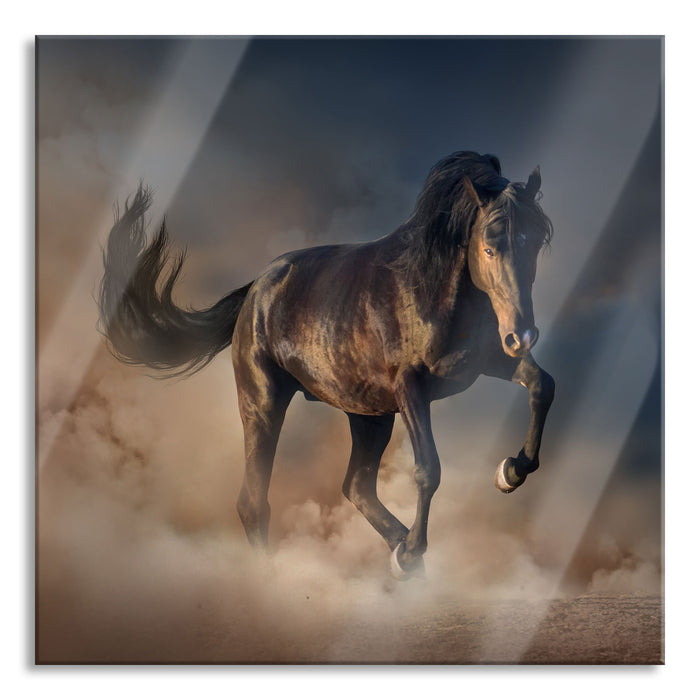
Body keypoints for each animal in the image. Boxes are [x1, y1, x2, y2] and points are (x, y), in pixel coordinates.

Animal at [98, 150, 555, 580]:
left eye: (535, 243)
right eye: (488, 247)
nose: (523, 334)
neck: (431, 288)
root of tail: (256, 289)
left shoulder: (489, 361)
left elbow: (542, 385)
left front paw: (511, 471)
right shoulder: (411, 387)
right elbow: (429, 469)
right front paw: (411, 552)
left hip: (369, 414)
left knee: (356, 487)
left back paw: (402, 555)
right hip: (263, 403)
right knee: (254, 502)